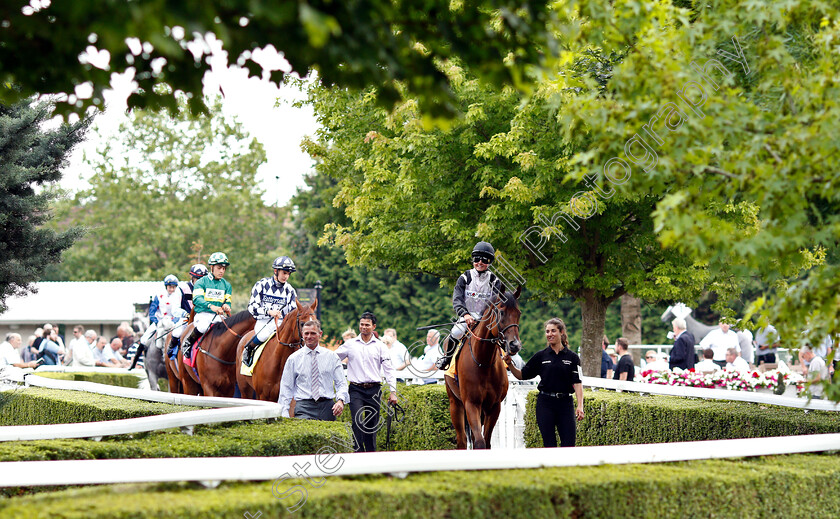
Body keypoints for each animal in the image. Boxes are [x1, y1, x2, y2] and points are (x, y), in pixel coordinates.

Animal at [442, 286, 520, 448]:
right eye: (501, 312)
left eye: (519, 313)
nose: (515, 345)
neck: (483, 363)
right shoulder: (471, 404)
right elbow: (479, 442)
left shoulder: (494, 406)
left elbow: (487, 441)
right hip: (455, 403)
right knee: (462, 439)